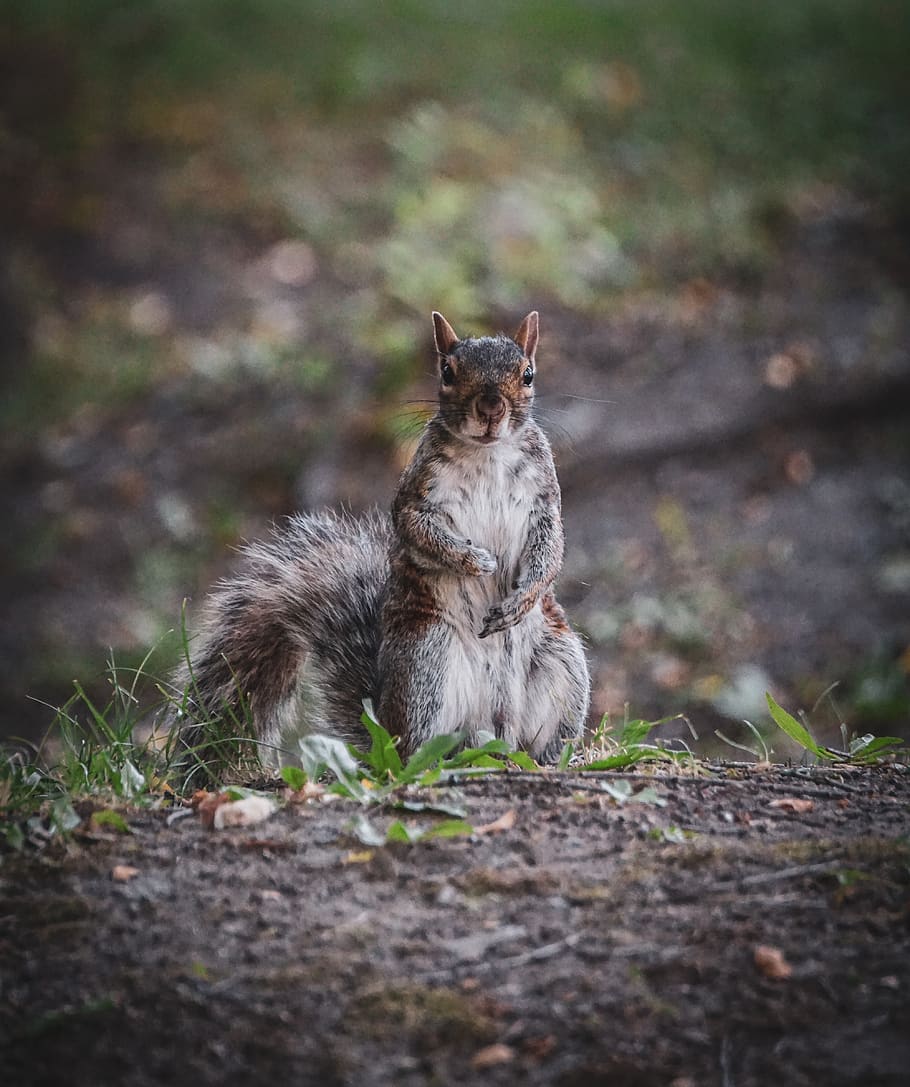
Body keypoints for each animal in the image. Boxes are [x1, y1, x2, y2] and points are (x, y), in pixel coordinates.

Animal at [171, 310, 590, 766]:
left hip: (562, 662)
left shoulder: (544, 502)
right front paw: (473, 561)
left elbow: (550, 550)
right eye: (447, 371)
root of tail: (494, 732)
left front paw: (521, 598)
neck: (488, 453)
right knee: (413, 750)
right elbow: (420, 532)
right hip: (426, 663)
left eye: (527, 374)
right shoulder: (415, 496)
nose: (491, 408)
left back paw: (549, 758)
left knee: (542, 737)